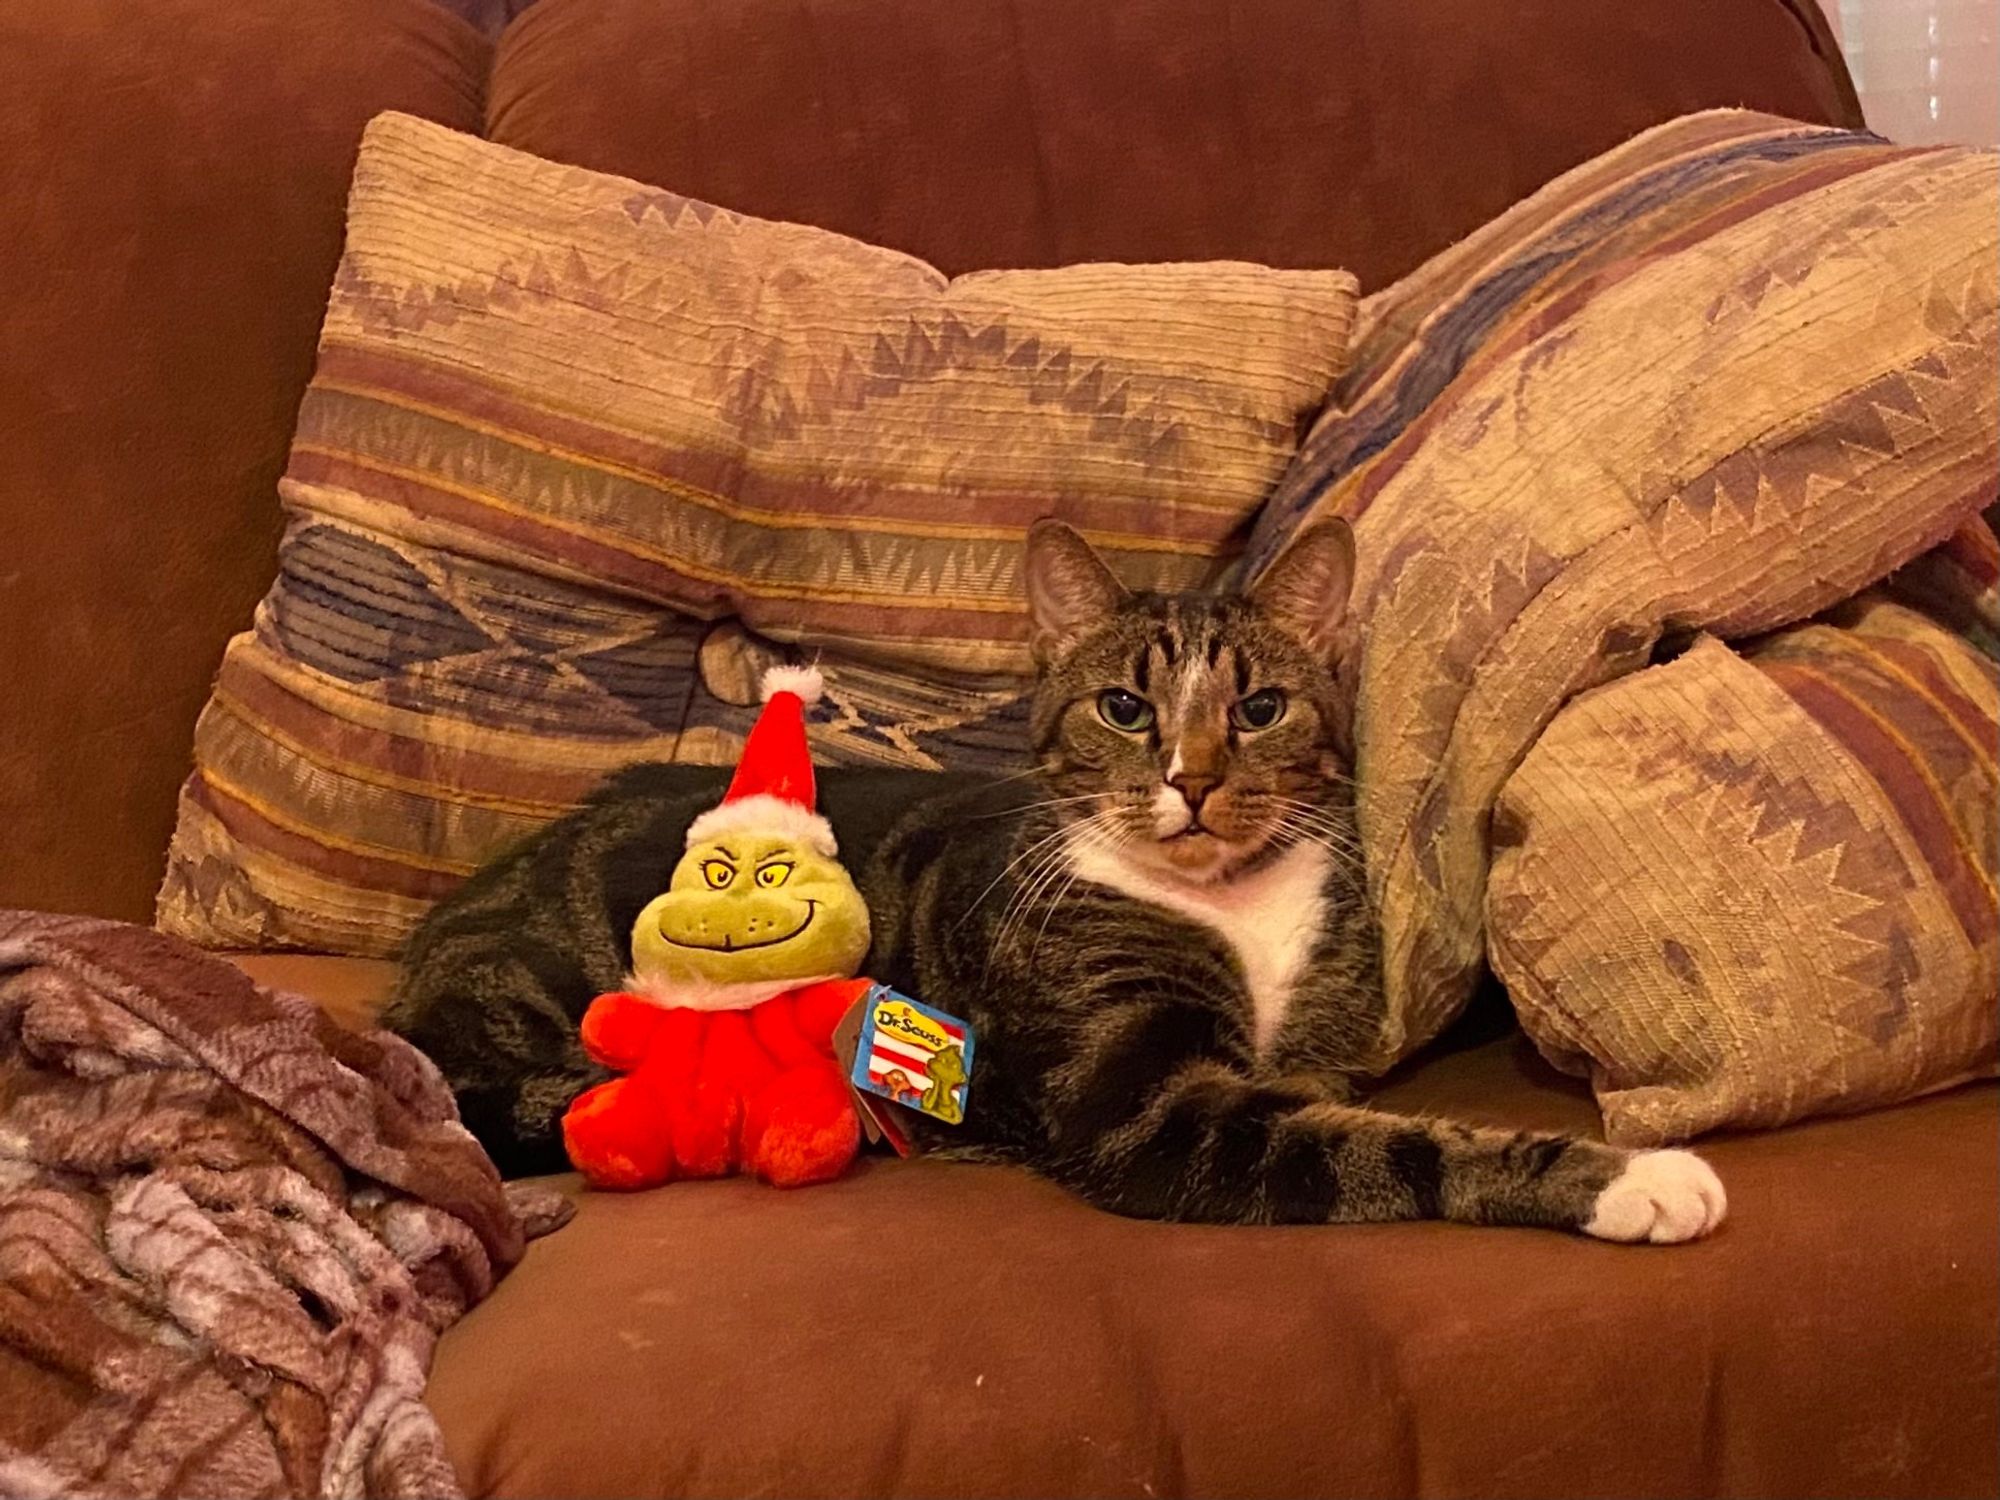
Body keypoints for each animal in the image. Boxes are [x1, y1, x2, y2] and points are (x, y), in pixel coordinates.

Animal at [390, 520, 1720, 1248]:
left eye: (1259, 709)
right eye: (1126, 708)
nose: (1191, 782)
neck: (1225, 900)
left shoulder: (1308, 1047)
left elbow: (1344, 1106)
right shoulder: (1144, 1106)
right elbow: (1394, 1149)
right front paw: (1635, 1179)